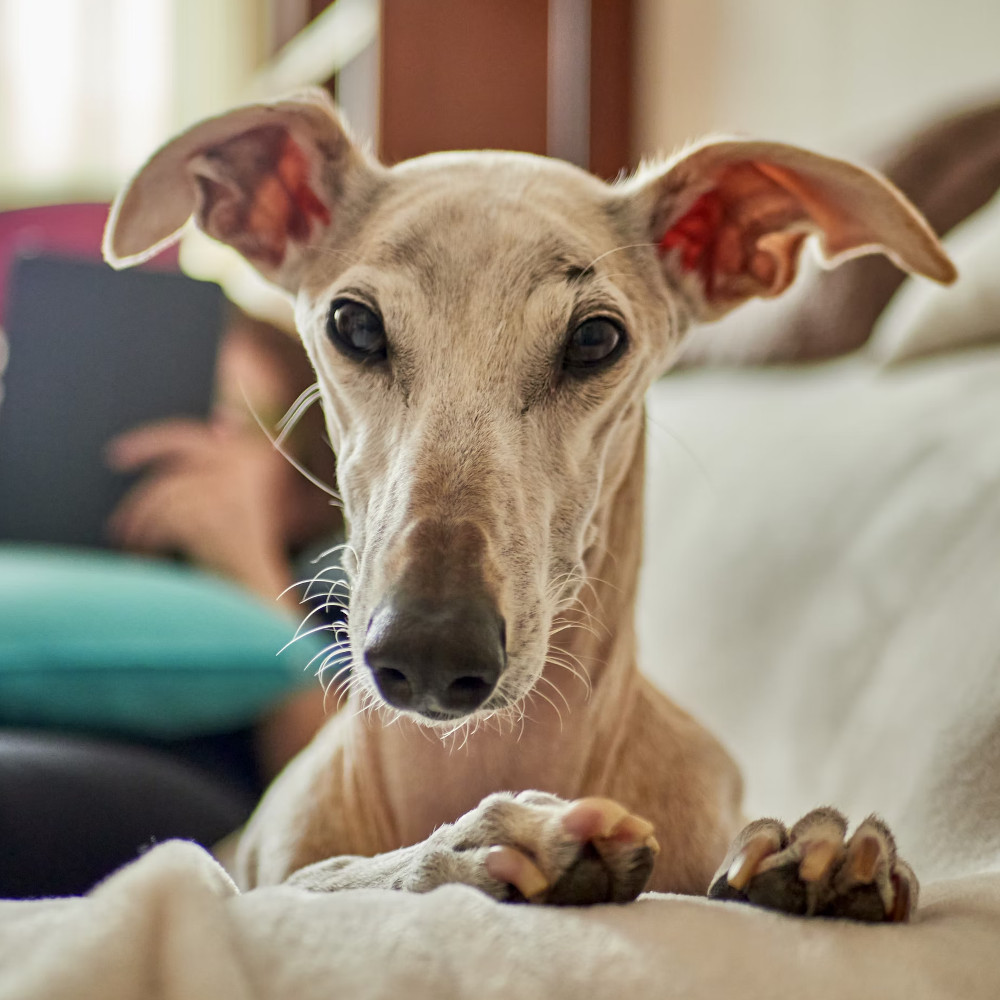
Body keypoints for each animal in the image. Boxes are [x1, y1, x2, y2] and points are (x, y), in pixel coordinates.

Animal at [105, 90, 956, 916]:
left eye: (595, 339)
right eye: (353, 323)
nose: (430, 652)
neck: (484, 753)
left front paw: (812, 852)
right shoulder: (256, 869)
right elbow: (317, 877)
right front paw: (473, 847)